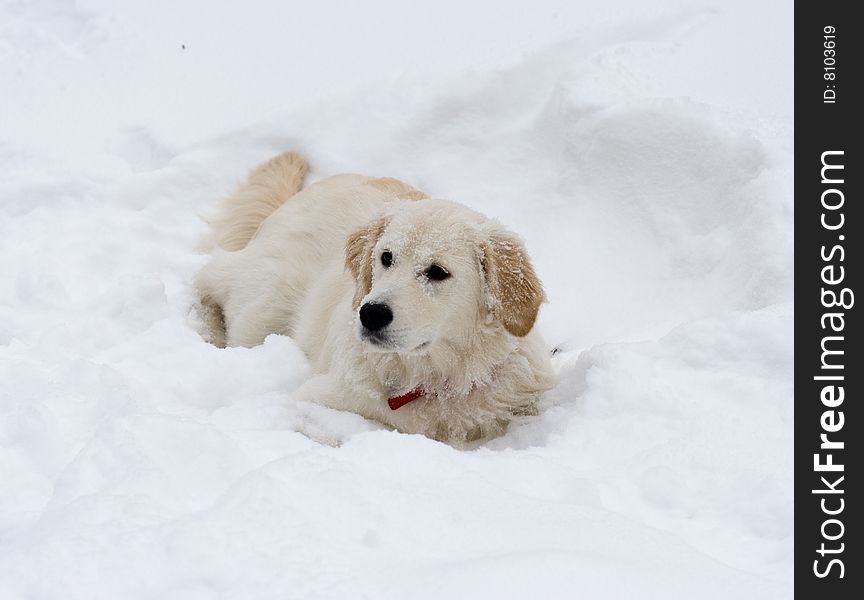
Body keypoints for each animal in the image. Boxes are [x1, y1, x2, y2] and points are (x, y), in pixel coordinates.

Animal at [193, 152, 556, 442]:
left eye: (438, 272)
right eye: (386, 257)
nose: (371, 314)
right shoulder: (312, 398)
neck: (433, 379)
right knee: (206, 278)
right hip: (262, 307)